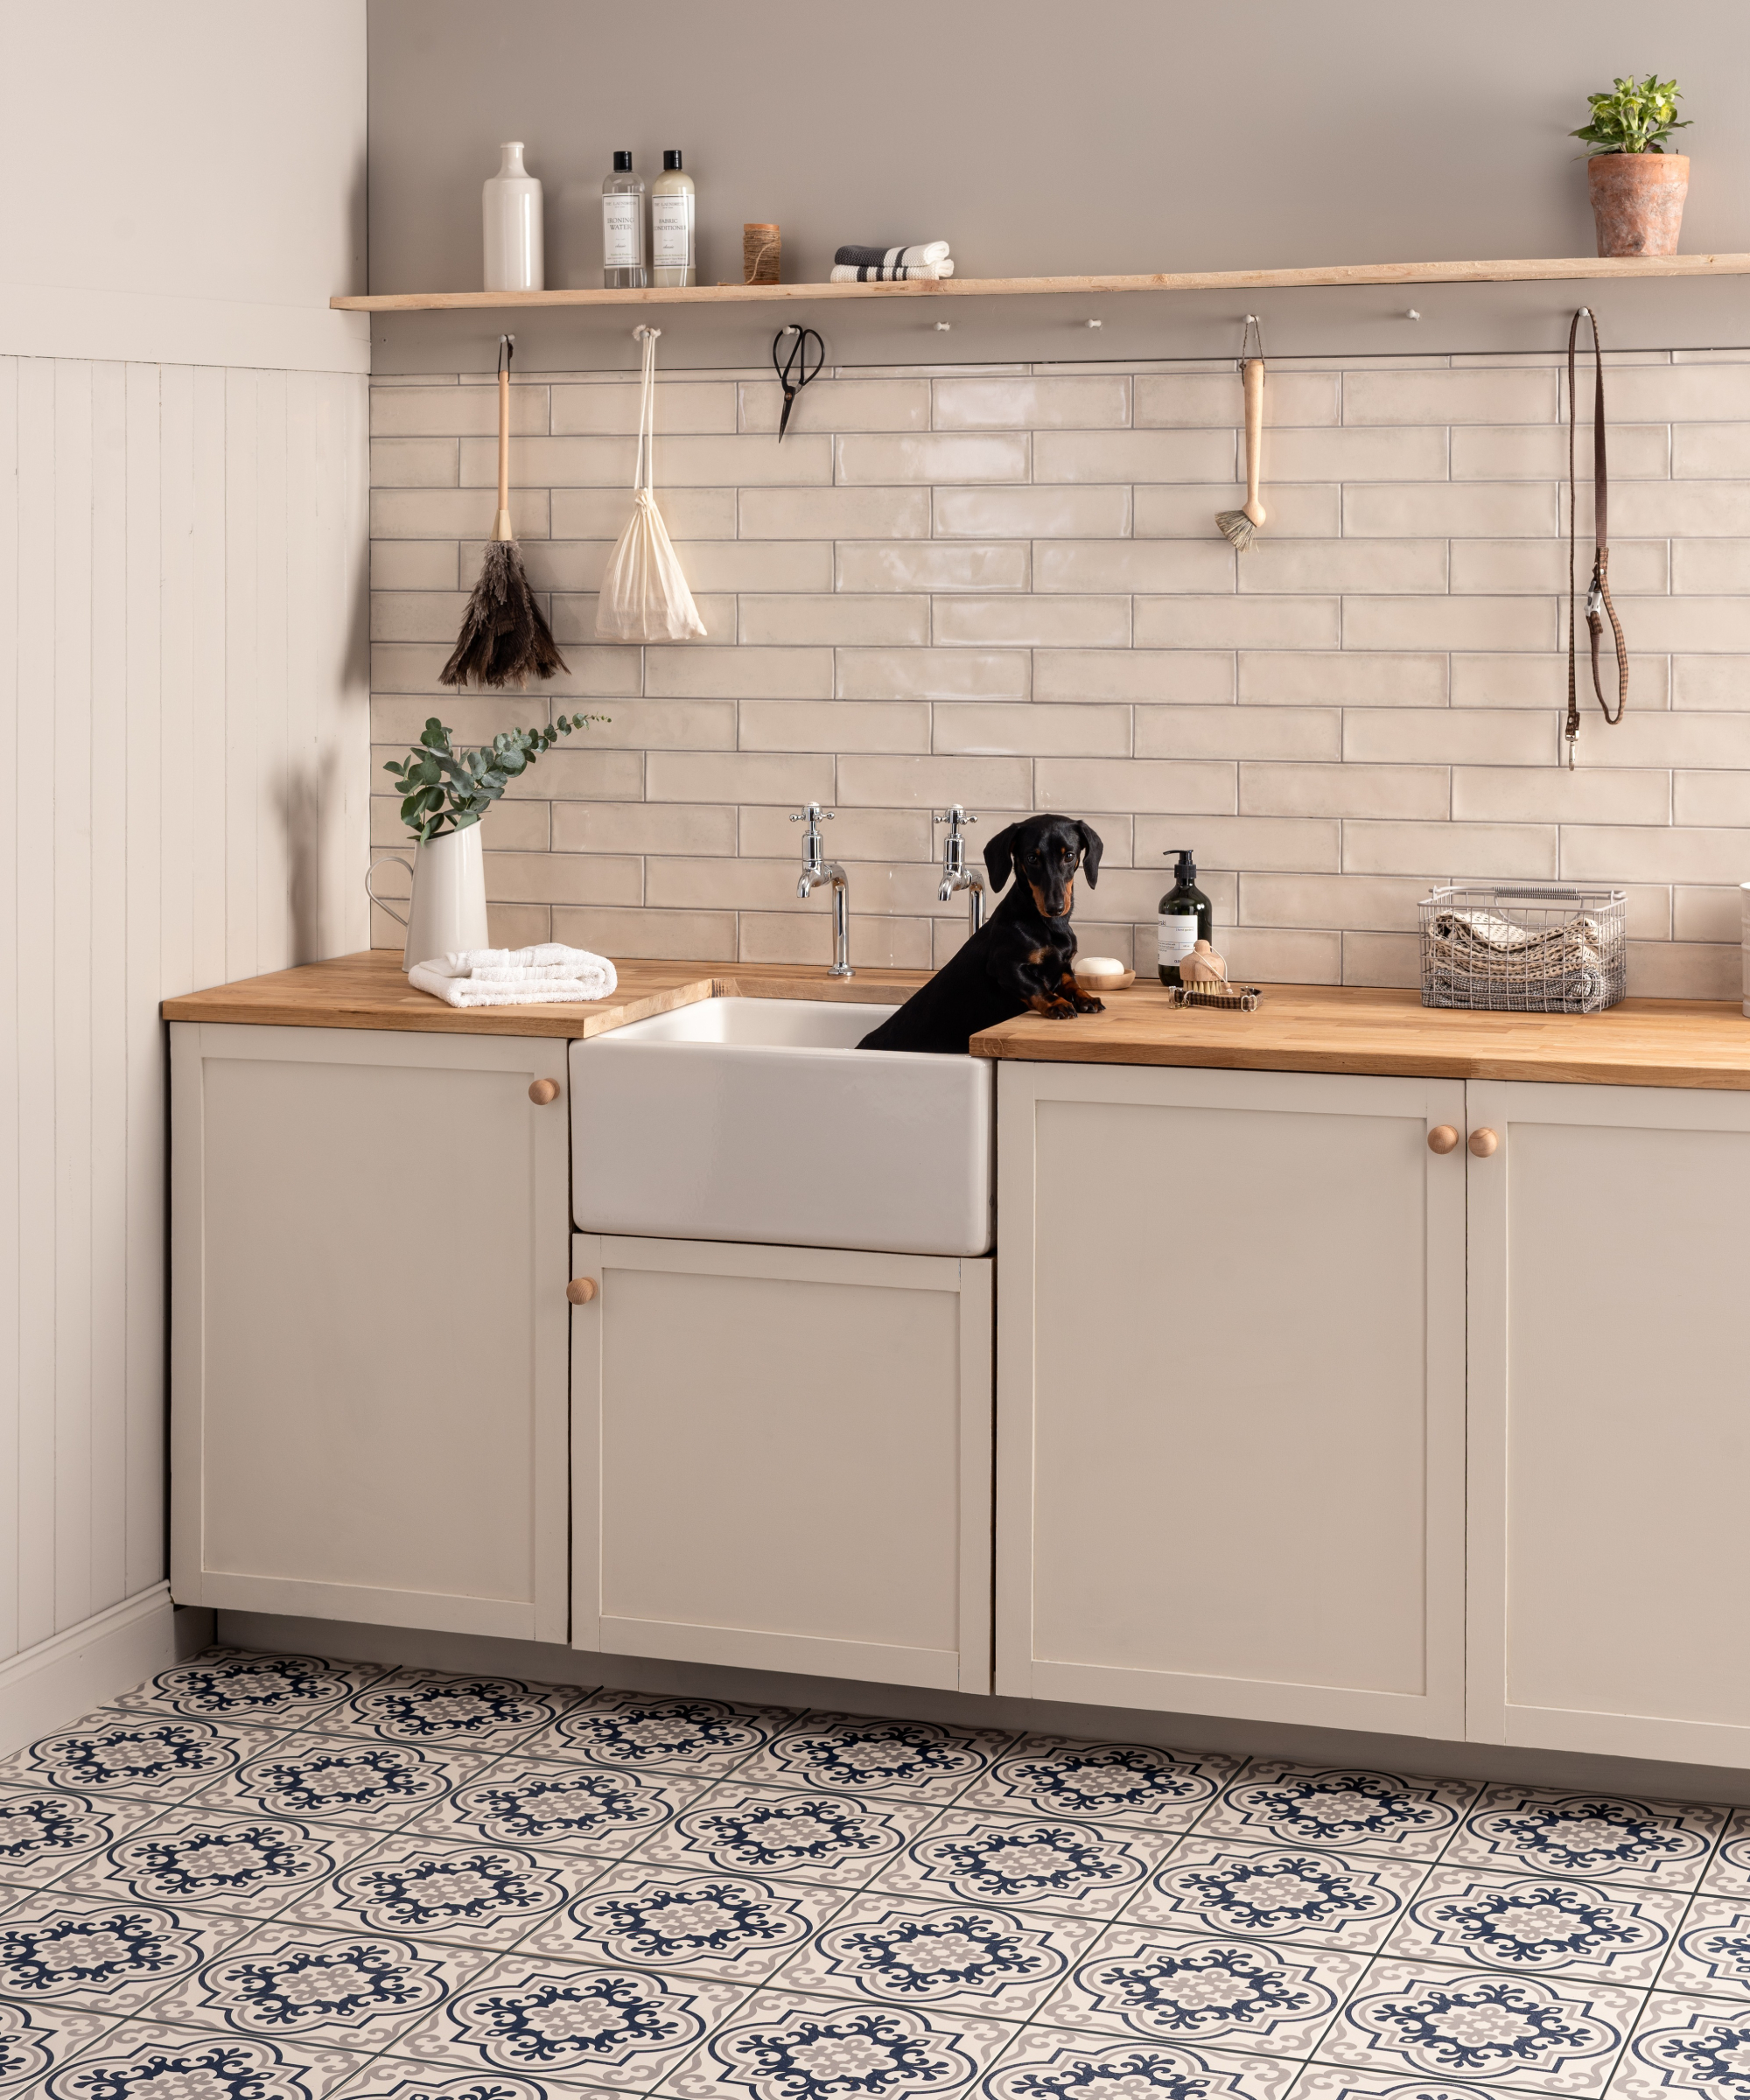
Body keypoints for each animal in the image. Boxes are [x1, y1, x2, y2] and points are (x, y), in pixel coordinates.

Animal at [852, 815, 1101, 1058]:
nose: (1055, 908)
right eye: (1032, 858)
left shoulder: (1064, 965)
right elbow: (1035, 986)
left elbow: (1071, 982)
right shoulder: (1005, 966)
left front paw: (1087, 998)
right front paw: (1057, 1004)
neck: (1048, 925)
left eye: (1069, 856)